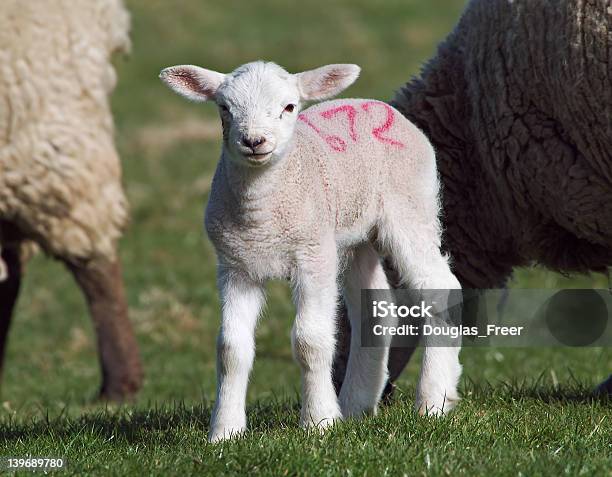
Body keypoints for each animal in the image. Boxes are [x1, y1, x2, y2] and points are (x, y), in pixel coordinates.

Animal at [160, 60, 462, 442]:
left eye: (289, 107)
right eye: (224, 108)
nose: (254, 141)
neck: (261, 217)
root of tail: (378, 106)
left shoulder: (313, 255)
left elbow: (310, 341)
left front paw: (319, 422)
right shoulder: (236, 266)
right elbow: (230, 349)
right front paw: (225, 431)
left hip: (409, 207)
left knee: (440, 288)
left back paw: (434, 400)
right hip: (353, 236)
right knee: (375, 311)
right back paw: (356, 405)